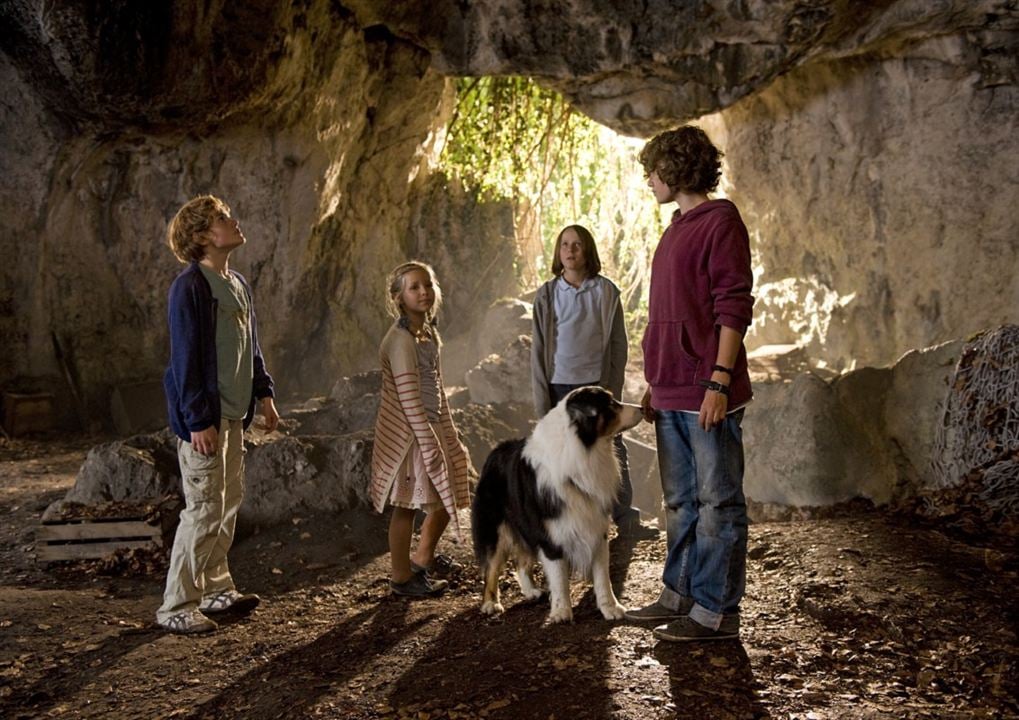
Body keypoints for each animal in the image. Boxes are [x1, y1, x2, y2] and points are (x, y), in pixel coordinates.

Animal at [472, 384, 639, 623]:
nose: (643, 408)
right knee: (491, 567)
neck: (581, 454)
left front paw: (610, 608)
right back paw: (490, 603)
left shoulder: (596, 527)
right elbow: (559, 578)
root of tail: (495, 449)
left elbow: (602, 576)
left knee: (521, 561)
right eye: (610, 405)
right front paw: (561, 612)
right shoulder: (551, 536)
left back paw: (531, 591)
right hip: (496, 530)